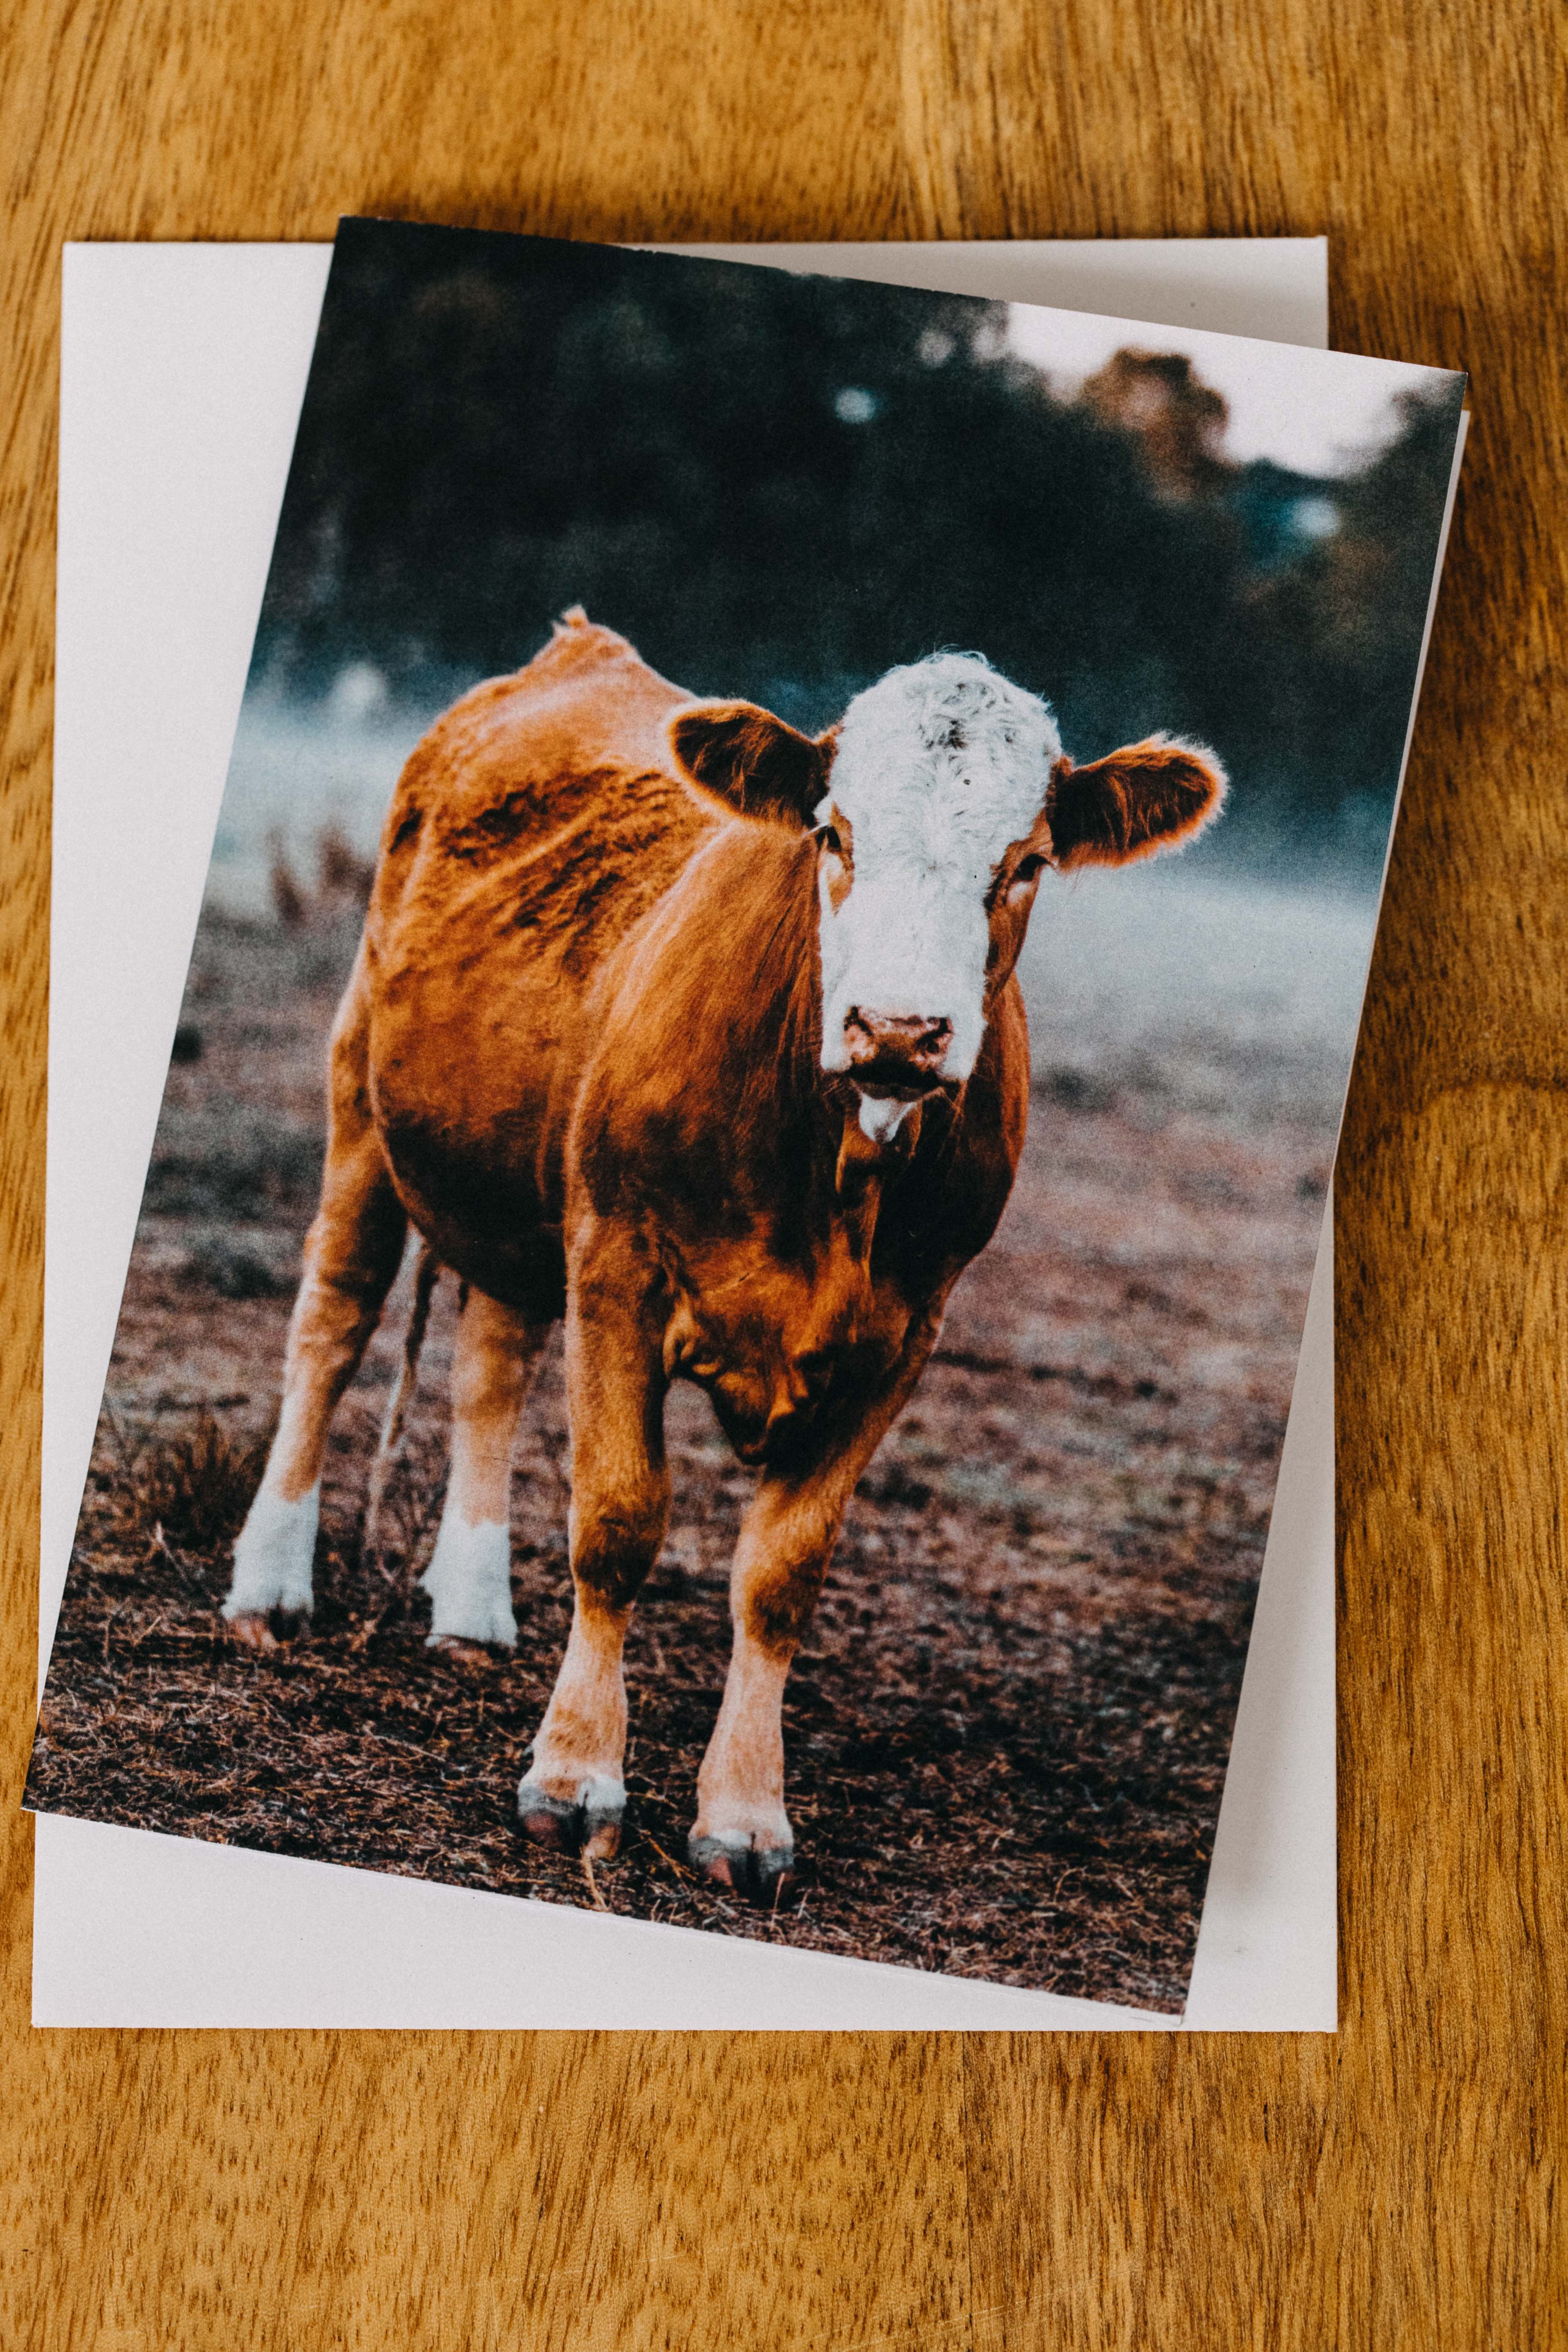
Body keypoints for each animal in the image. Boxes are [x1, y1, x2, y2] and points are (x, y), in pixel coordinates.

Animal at [221, 609, 1225, 1901]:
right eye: (833, 834)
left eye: (1026, 864)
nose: (898, 1029)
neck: (836, 1170)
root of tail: (576, 649)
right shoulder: (619, 1262)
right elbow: (616, 1521)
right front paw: (572, 1777)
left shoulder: (906, 1332)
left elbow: (781, 1574)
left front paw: (745, 1813)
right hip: (360, 1097)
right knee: (334, 1320)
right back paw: (269, 1582)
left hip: (521, 1181)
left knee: (491, 1362)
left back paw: (471, 1608)